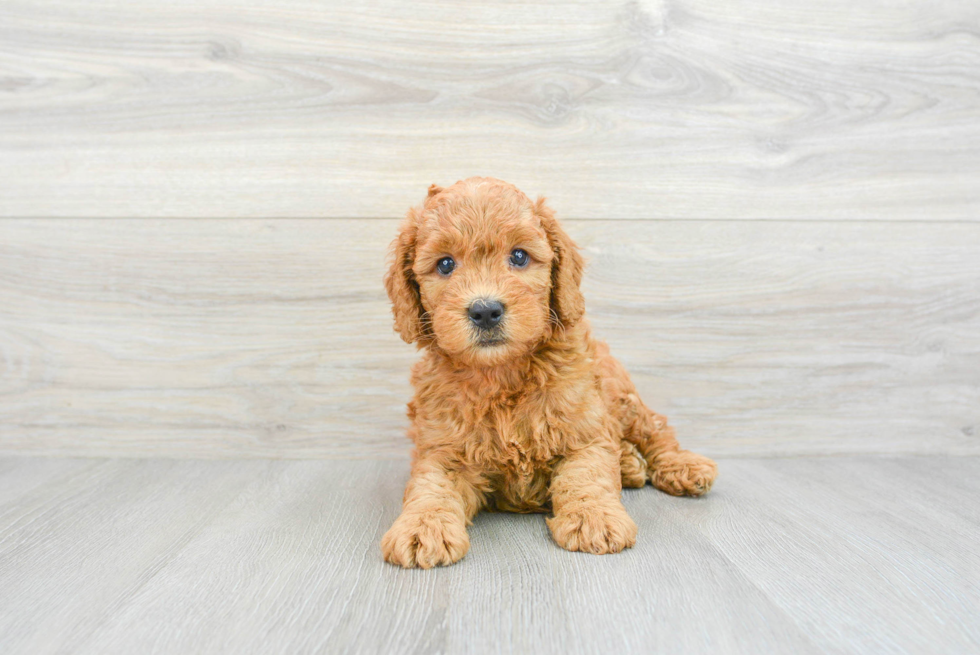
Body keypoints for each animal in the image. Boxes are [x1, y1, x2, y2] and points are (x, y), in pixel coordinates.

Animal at [380, 177, 712, 568]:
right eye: (445, 264)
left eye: (519, 256)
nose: (485, 311)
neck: (502, 373)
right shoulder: (442, 448)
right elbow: (431, 487)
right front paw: (422, 528)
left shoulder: (584, 431)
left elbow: (586, 475)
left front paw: (592, 517)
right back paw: (630, 464)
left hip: (622, 397)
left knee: (656, 429)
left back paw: (680, 466)